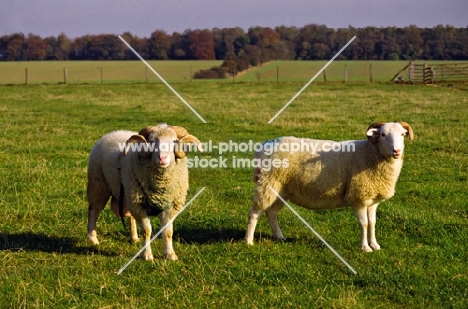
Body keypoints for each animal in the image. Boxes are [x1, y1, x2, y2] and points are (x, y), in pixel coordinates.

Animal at [87, 124, 202, 258]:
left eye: (174, 141)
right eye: (151, 142)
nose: (162, 158)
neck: (161, 186)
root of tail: (114, 132)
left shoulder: (171, 206)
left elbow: (168, 231)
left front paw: (170, 254)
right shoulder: (139, 205)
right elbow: (146, 231)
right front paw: (147, 255)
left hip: (127, 195)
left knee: (130, 216)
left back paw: (134, 237)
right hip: (98, 184)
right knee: (94, 211)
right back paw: (92, 238)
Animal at [245, 120, 414, 250]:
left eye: (402, 134)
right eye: (383, 135)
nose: (397, 151)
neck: (370, 154)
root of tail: (264, 146)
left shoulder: (372, 200)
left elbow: (372, 223)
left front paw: (375, 245)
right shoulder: (358, 197)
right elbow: (364, 224)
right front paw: (365, 247)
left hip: (282, 189)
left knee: (271, 212)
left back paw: (280, 237)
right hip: (268, 183)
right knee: (255, 213)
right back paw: (249, 241)